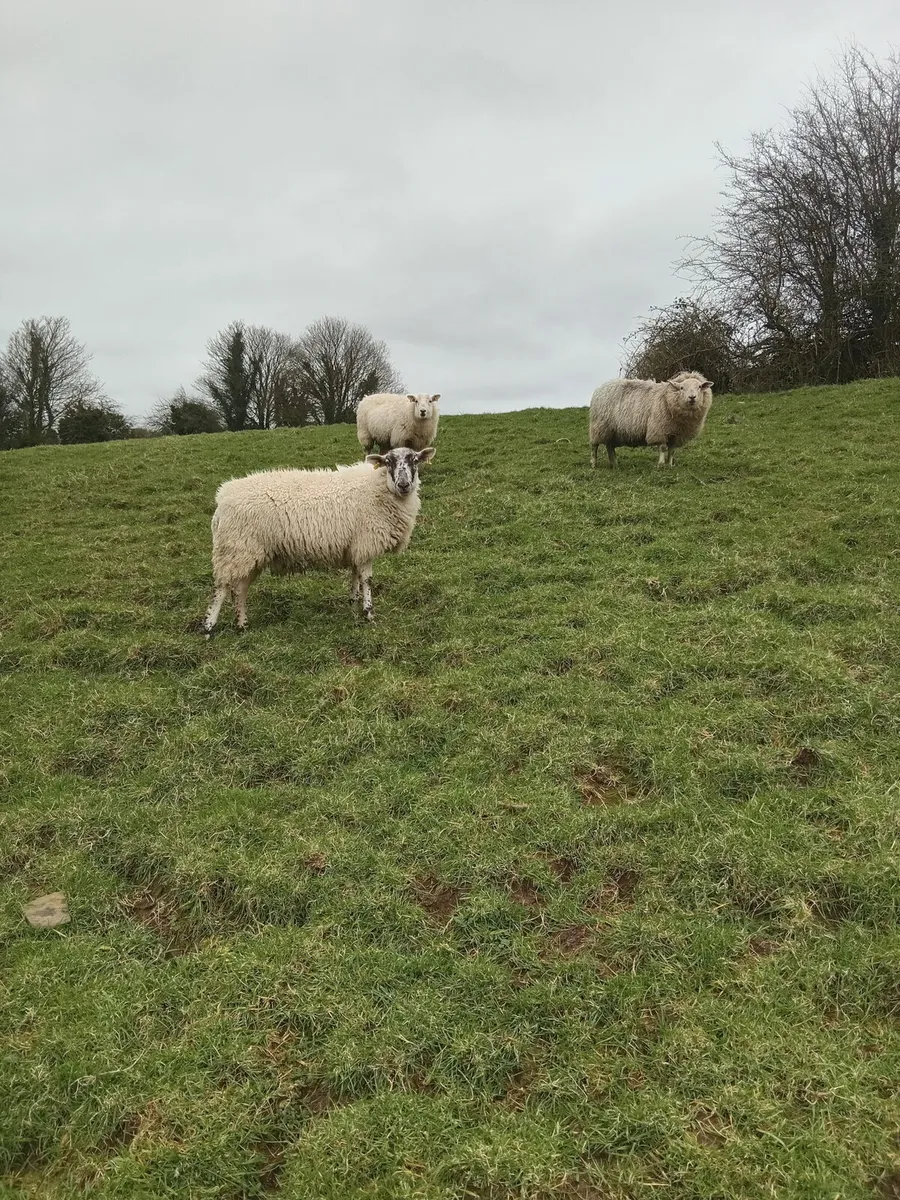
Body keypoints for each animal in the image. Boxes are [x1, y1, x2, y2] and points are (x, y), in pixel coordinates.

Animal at [201, 446, 436, 633]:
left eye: (415, 460)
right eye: (388, 462)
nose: (404, 484)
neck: (380, 488)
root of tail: (221, 500)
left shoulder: (354, 545)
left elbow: (355, 574)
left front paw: (353, 601)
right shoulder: (366, 543)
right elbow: (367, 579)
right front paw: (368, 613)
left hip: (249, 553)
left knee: (239, 590)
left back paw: (242, 625)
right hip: (234, 549)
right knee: (221, 589)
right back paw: (209, 626)